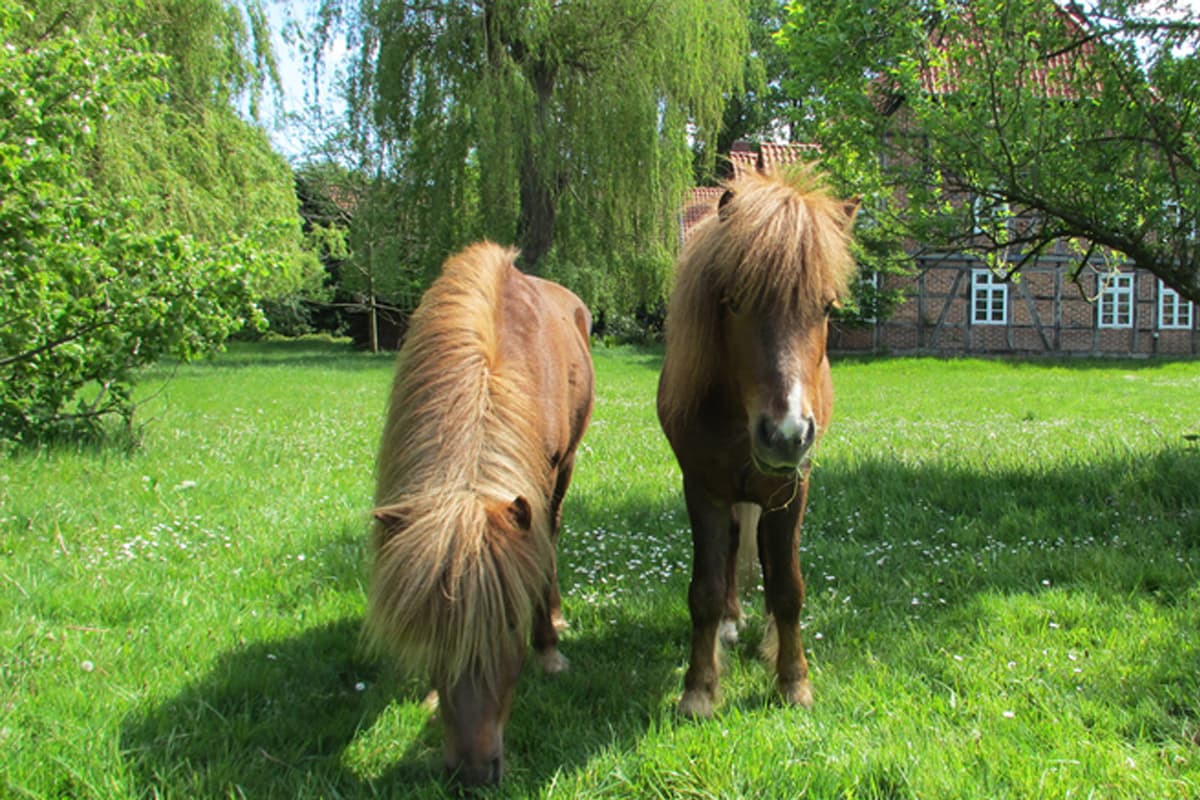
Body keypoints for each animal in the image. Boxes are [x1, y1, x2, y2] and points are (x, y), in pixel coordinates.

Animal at [364, 241, 590, 786]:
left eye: (509, 622)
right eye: (427, 628)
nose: (472, 772)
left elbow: (538, 557)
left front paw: (548, 650)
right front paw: (428, 694)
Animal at [657, 167, 854, 719]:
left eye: (826, 306)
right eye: (736, 300)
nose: (786, 436)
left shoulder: (791, 492)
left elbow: (788, 585)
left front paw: (792, 680)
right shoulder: (702, 489)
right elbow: (704, 588)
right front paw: (699, 689)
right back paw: (729, 623)